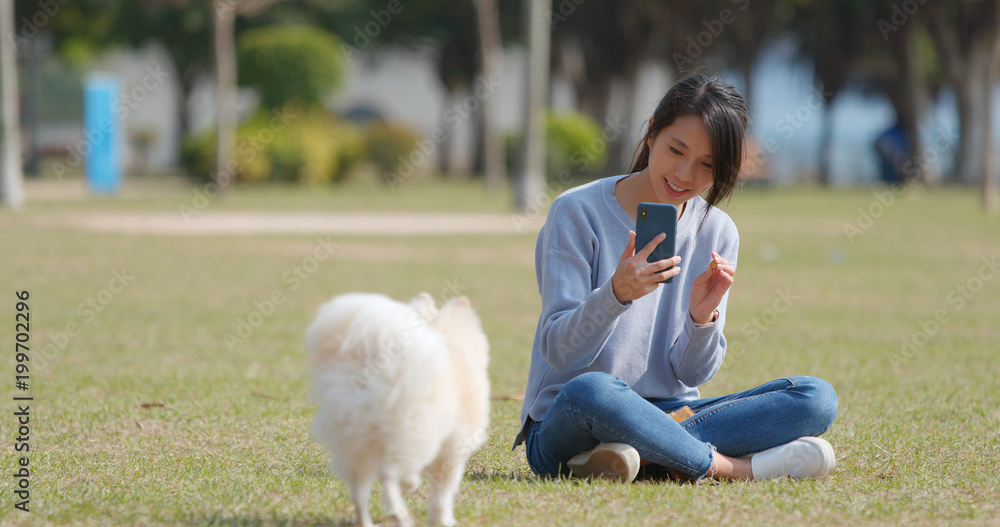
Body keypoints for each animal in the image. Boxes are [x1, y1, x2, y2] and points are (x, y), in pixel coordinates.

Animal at [306, 292, 490, 527]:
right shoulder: (453, 452)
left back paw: (370, 522)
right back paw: (399, 512)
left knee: (359, 493)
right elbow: (443, 494)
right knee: (388, 474)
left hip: (356, 443)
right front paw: (443, 519)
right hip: (414, 432)